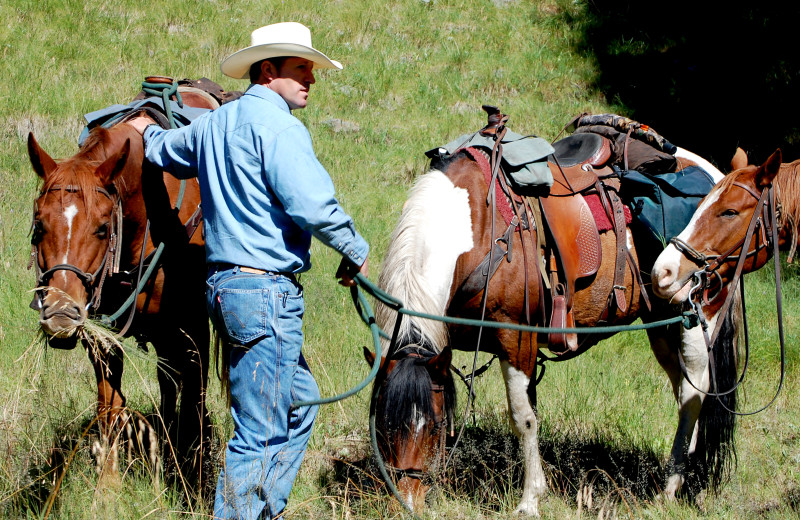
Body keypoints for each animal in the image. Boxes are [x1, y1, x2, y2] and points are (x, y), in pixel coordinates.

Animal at [27, 82, 220, 488]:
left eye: (103, 228)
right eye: (39, 225)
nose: (61, 317)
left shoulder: (194, 330)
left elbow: (195, 403)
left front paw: (194, 484)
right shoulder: (101, 337)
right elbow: (109, 408)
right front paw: (108, 487)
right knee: (167, 382)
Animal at [368, 111, 736, 512]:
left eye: (433, 426)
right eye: (383, 428)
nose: (406, 504)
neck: (478, 232)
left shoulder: (516, 339)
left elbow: (523, 418)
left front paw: (531, 498)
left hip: (696, 316)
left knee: (695, 392)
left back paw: (671, 487)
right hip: (660, 324)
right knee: (686, 391)